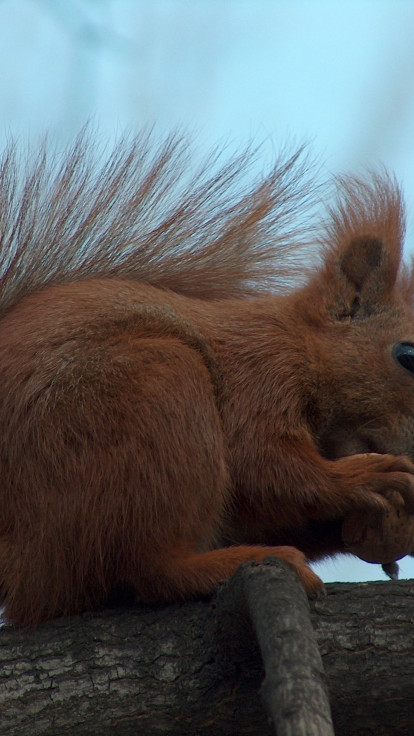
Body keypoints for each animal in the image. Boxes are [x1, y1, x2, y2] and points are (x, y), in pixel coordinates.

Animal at [0, 134, 414, 628]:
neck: (299, 345)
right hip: (151, 396)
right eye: (408, 355)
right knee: (147, 567)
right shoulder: (260, 375)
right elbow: (265, 466)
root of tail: (18, 569)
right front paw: (363, 477)